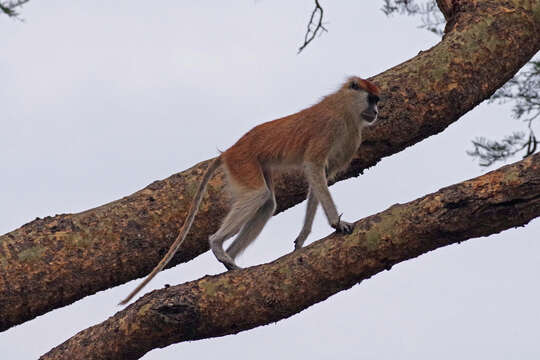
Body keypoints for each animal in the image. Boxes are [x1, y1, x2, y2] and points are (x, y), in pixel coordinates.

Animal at [119, 76, 380, 304]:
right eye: (372, 99)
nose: (377, 112)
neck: (344, 107)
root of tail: (230, 151)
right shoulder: (330, 129)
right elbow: (313, 168)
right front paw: (337, 223)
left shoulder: (350, 140)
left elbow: (319, 179)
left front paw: (303, 238)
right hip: (243, 162)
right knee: (258, 196)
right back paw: (217, 245)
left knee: (266, 204)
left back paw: (230, 260)